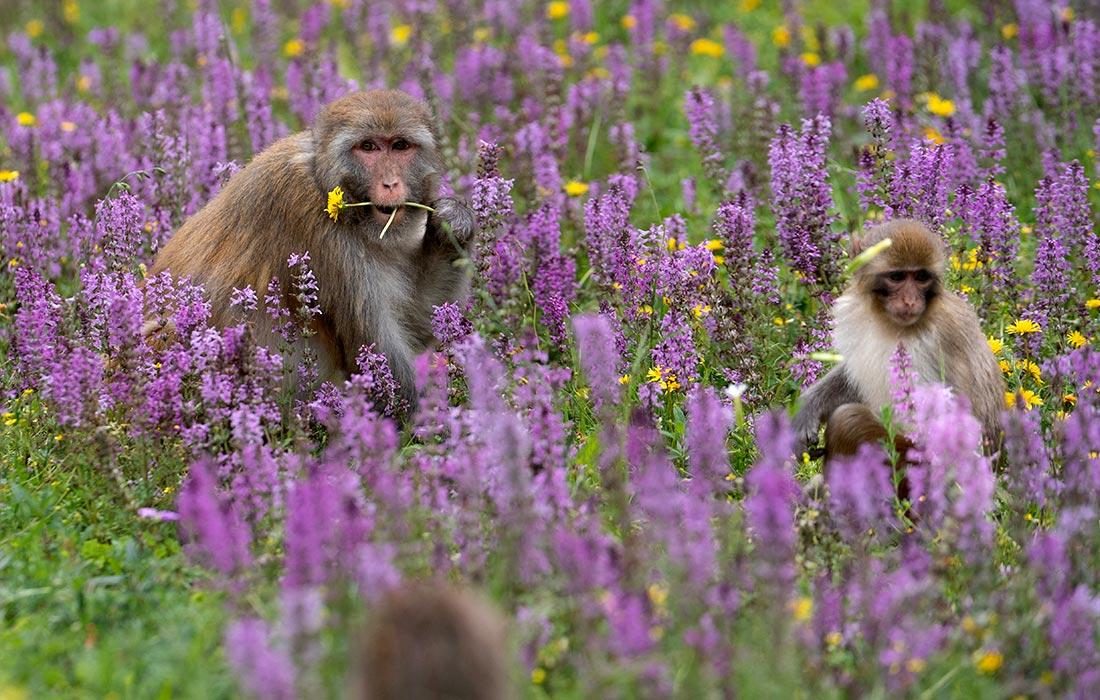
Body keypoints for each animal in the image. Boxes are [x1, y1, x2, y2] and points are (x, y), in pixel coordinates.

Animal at [147, 90, 473, 413]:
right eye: (368, 147)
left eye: (400, 146)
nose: (391, 183)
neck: (327, 183)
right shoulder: (311, 220)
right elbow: (373, 345)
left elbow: (419, 320)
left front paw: (452, 223)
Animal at [792, 219, 1007, 460]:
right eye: (897, 277)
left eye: (921, 277)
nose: (910, 301)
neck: (887, 322)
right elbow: (851, 376)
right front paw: (808, 407)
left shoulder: (942, 336)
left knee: (847, 421)